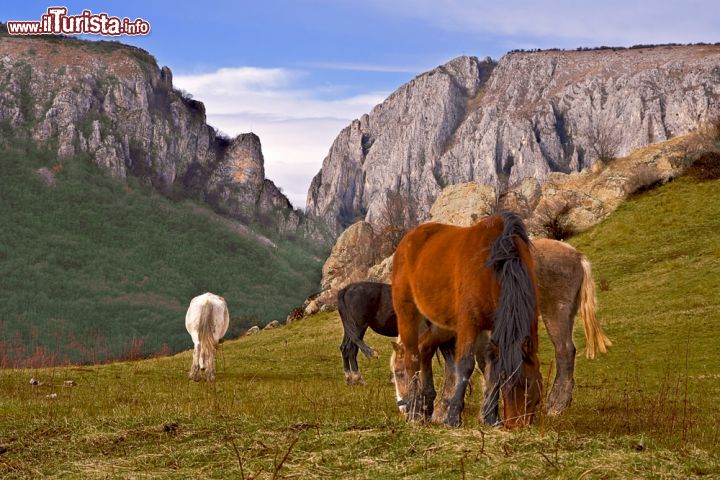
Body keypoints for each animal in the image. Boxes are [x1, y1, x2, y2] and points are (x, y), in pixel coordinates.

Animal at [394, 212, 540, 430]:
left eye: (532, 389)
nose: (516, 425)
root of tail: (408, 238)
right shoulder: (469, 324)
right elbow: (465, 365)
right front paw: (454, 417)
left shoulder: (493, 329)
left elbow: (492, 367)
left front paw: (490, 417)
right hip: (407, 312)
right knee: (412, 357)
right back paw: (414, 413)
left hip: (438, 323)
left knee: (425, 350)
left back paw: (426, 406)